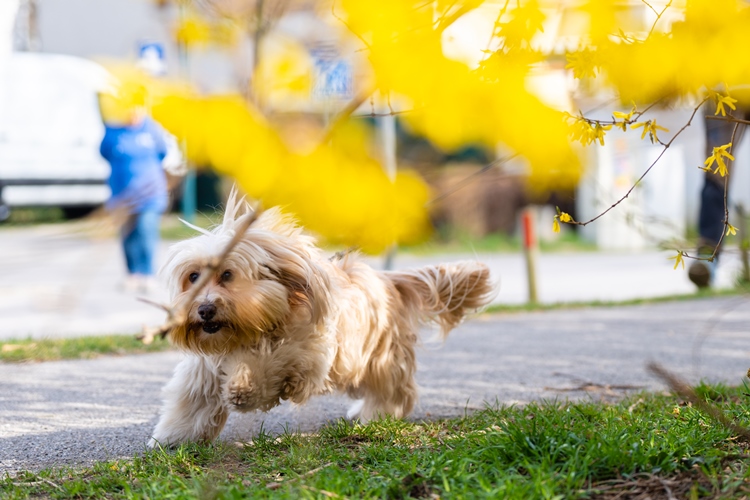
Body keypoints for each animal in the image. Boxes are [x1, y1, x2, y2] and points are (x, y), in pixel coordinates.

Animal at [149, 194, 496, 446]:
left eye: (227, 275)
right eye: (193, 276)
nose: (204, 309)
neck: (251, 329)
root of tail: (388, 279)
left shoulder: (303, 357)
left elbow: (269, 367)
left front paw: (244, 387)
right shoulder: (204, 372)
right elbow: (191, 405)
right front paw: (172, 440)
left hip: (381, 357)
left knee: (395, 391)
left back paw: (378, 414)